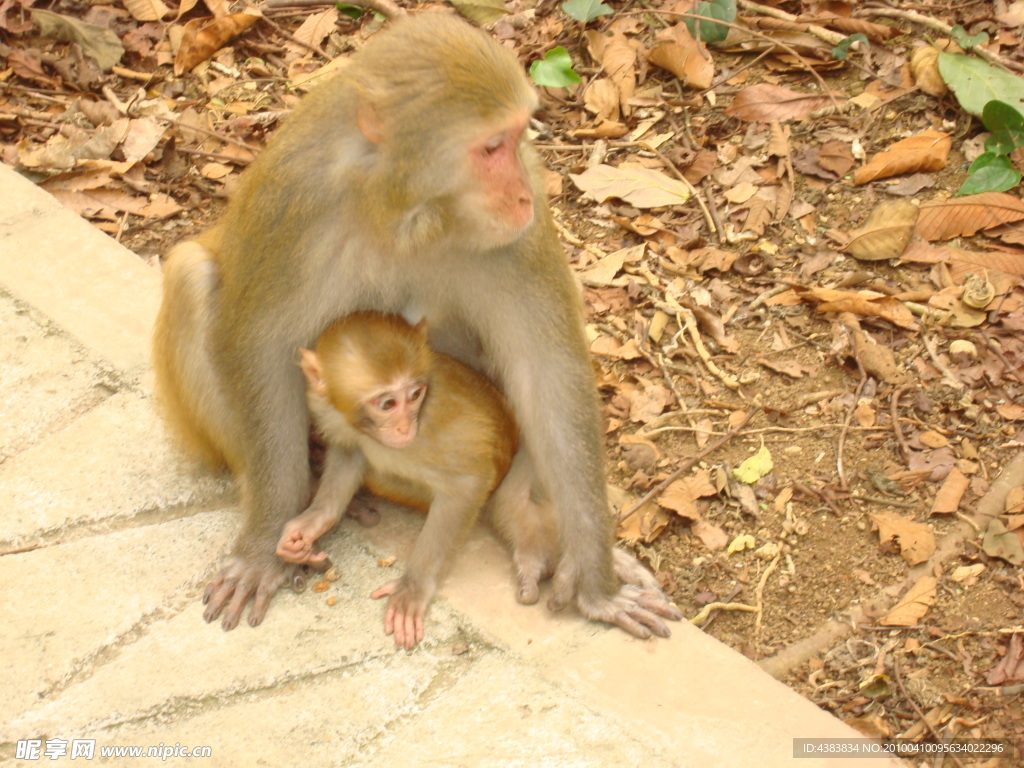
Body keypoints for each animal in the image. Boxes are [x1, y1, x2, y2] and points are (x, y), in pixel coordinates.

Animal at [276, 311, 557, 651]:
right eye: (387, 404)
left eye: (415, 395)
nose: (405, 427)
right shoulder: (330, 411)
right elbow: (349, 452)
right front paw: (313, 522)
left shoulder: (429, 435)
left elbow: (467, 483)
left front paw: (413, 588)